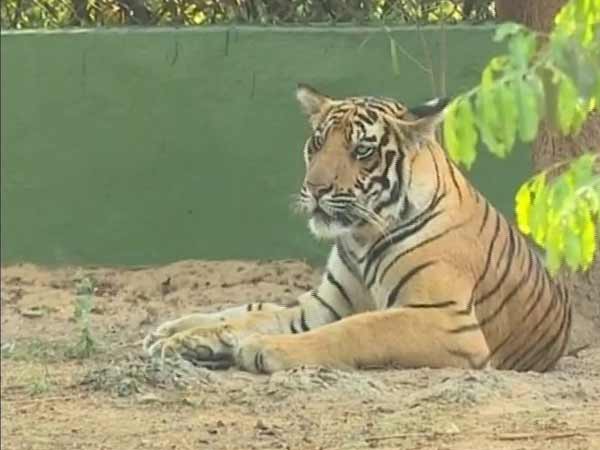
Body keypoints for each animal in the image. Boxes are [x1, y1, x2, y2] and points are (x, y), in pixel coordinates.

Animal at [143, 83, 571, 374]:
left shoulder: (448, 319)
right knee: (251, 308)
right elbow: (267, 317)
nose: (315, 188)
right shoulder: (326, 304)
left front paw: (266, 349)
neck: (363, 236)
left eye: (361, 150)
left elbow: (357, 329)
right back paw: (171, 333)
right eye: (317, 144)